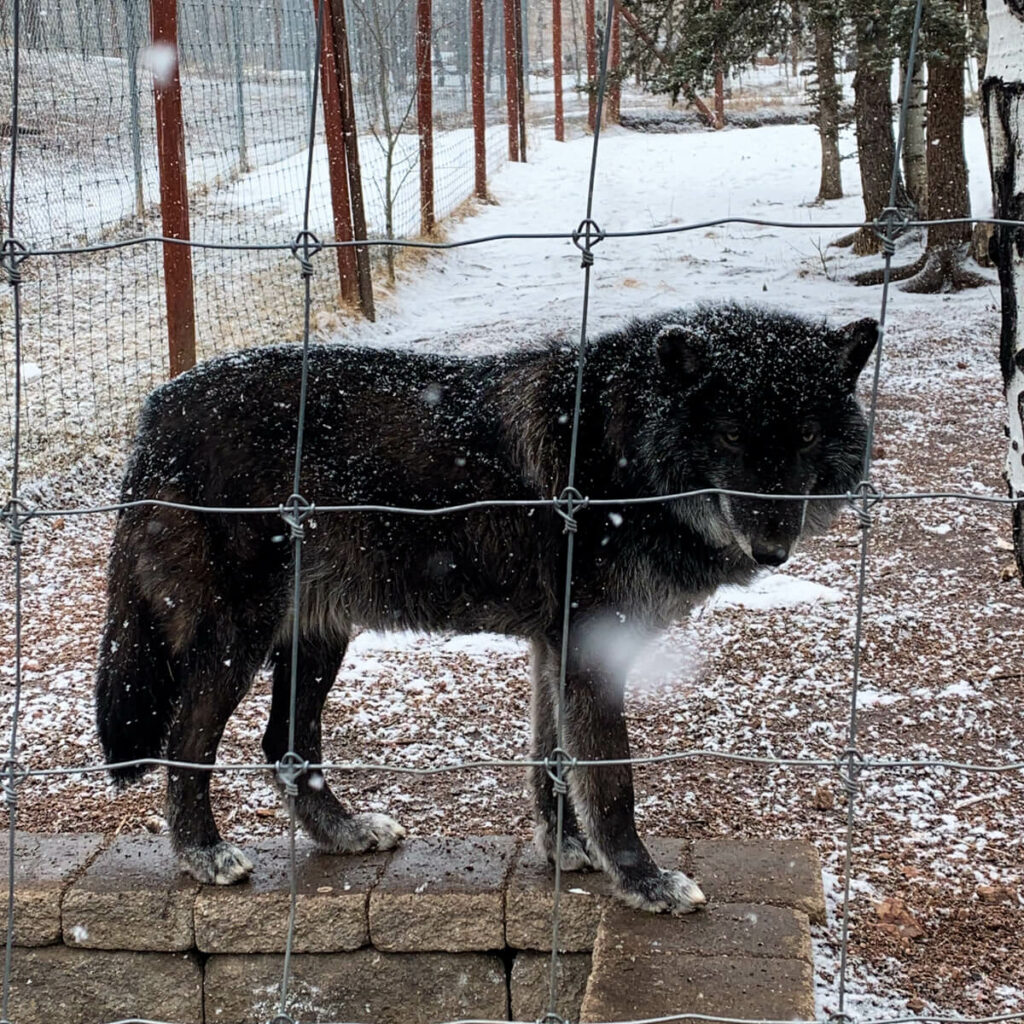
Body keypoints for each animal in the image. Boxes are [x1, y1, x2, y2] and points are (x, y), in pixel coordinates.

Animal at [96, 301, 876, 913]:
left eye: (807, 435)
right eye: (732, 436)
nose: (774, 548)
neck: (621, 450)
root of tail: (158, 406)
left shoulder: (556, 648)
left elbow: (553, 761)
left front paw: (565, 848)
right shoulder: (591, 648)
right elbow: (611, 781)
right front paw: (643, 882)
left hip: (320, 633)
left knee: (283, 743)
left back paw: (344, 834)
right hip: (240, 635)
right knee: (185, 743)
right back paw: (204, 854)